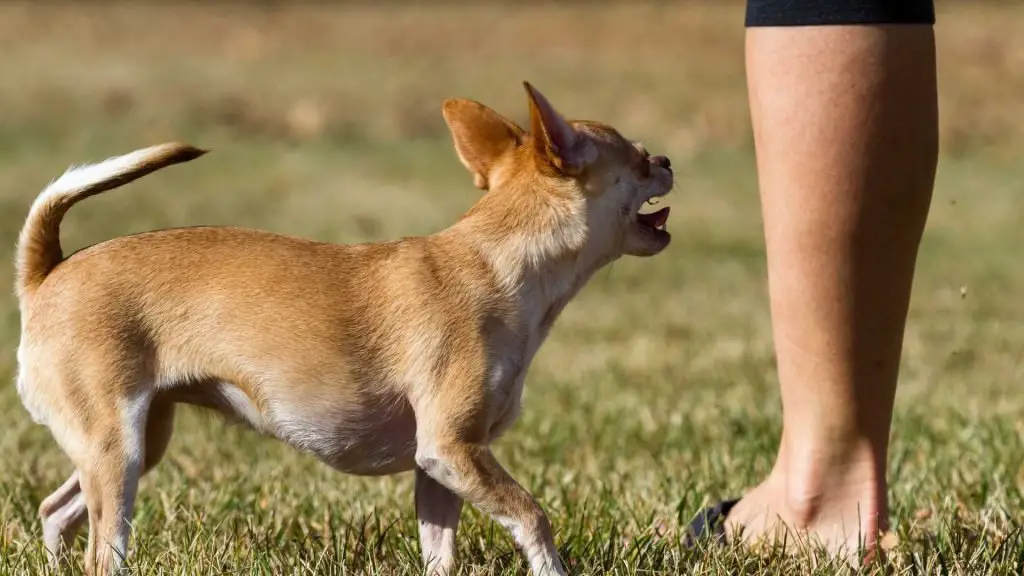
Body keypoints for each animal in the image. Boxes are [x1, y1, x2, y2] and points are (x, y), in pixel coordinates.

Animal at [18, 81, 671, 573]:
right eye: (639, 160)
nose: (666, 160)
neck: (499, 262)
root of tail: (47, 273)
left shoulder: (440, 470)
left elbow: (441, 555)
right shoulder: (452, 448)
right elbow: (533, 515)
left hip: (137, 440)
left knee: (55, 510)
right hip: (118, 447)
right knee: (103, 551)